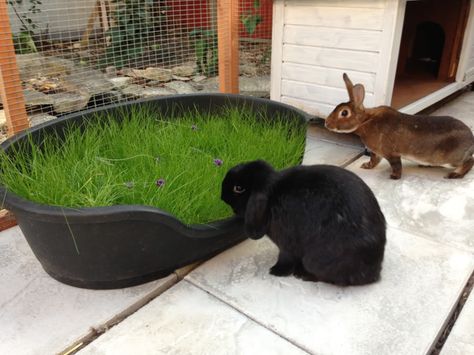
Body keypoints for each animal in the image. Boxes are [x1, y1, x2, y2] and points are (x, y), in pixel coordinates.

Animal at [220, 161, 386, 286]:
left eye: (238, 188)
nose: (222, 197)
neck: (272, 196)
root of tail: (374, 273)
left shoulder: (286, 244)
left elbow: (285, 258)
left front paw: (276, 271)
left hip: (317, 260)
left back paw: (304, 275)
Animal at [326, 74, 474, 181]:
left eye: (344, 113)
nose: (326, 123)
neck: (365, 121)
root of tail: (471, 140)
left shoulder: (391, 153)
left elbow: (396, 165)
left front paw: (394, 177)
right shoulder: (376, 152)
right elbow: (374, 160)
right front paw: (366, 166)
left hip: (452, 157)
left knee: (469, 161)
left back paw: (455, 174)